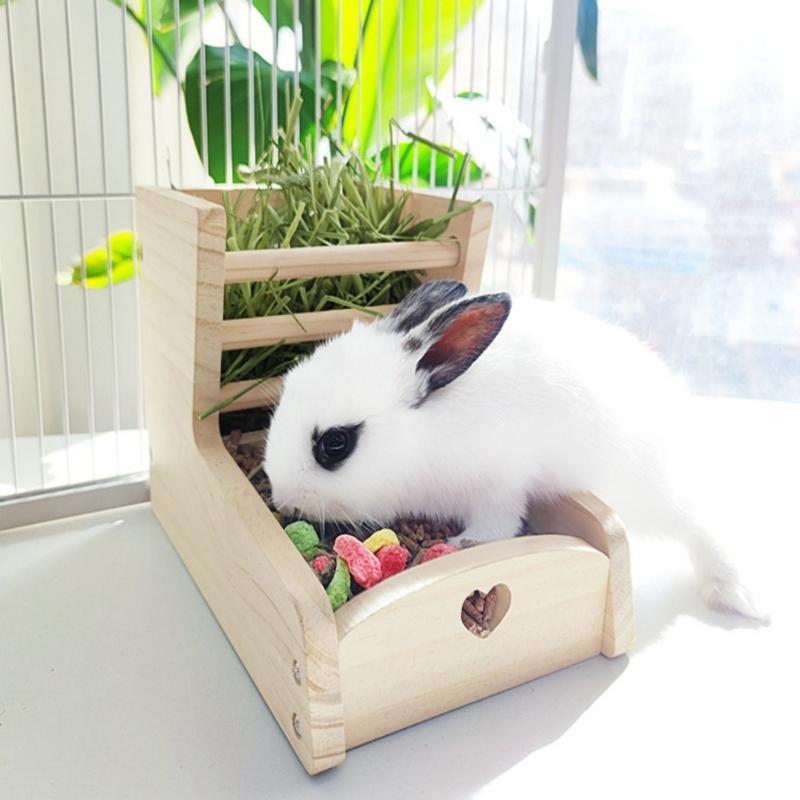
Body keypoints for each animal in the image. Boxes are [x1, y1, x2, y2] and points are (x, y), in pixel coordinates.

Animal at [264, 279, 766, 621]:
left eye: (335, 442)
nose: (281, 497)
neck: (421, 435)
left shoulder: (498, 485)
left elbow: (497, 527)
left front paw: (459, 545)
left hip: (651, 490)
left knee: (700, 527)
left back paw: (739, 597)